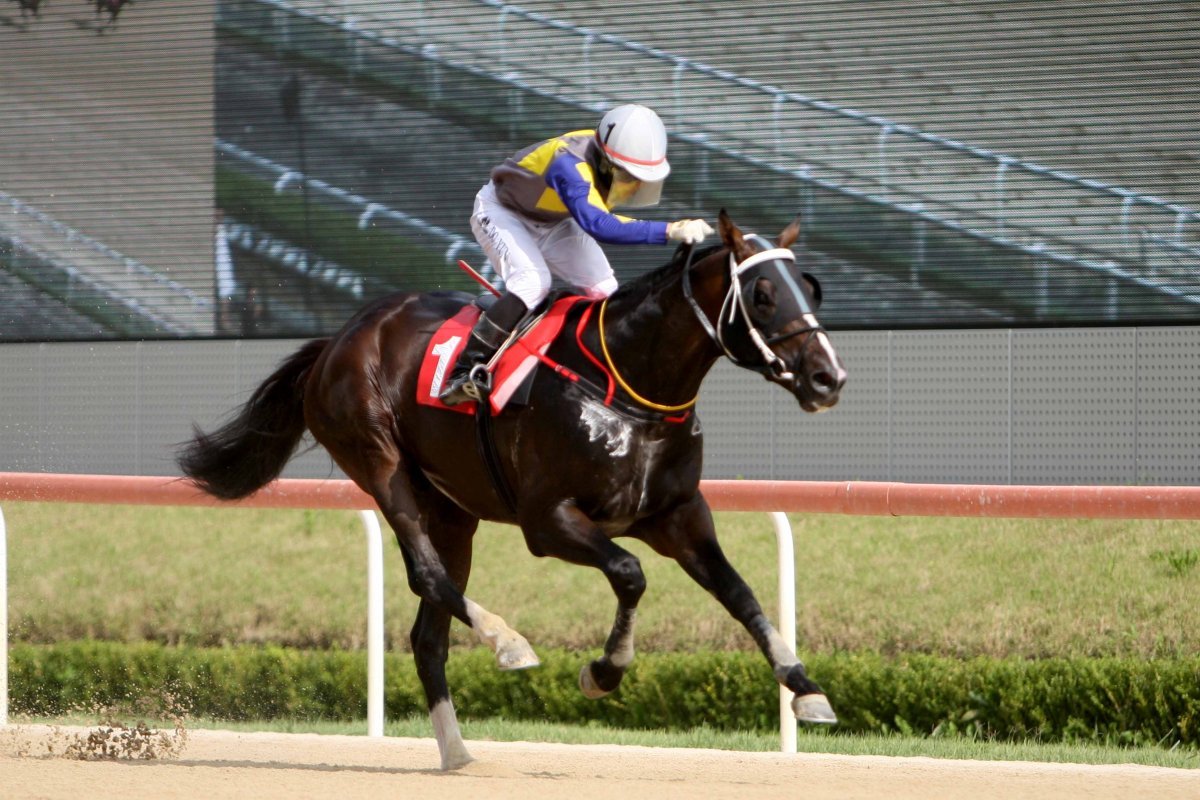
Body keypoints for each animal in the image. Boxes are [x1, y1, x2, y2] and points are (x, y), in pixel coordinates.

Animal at [177, 208, 849, 767]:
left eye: (810, 287)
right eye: (762, 295)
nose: (828, 377)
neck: (626, 386)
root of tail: (335, 341)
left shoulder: (678, 514)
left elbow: (740, 593)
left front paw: (807, 690)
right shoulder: (547, 519)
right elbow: (629, 573)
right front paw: (603, 672)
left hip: (454, 512)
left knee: (428, 634)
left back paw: (458, 753)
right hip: (379, 462)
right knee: (427, 573)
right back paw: (507, 642)